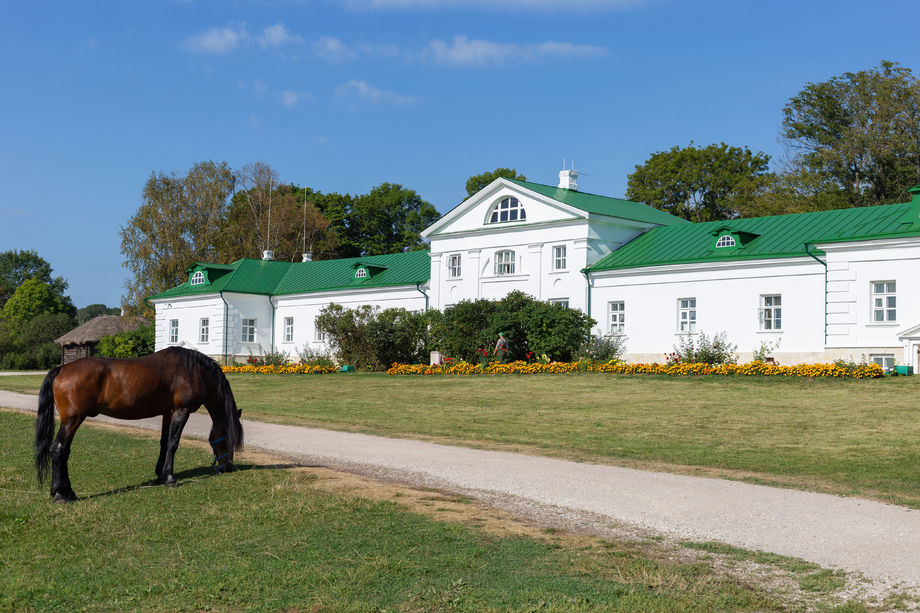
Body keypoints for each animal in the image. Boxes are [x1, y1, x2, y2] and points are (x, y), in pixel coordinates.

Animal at [36, 346, 244, 500]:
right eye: (229, 439)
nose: (227, 467)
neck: (194, 371)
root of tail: (61, 369)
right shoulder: (181, 411)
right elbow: (173, 443)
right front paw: (170, 478)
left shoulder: (168, 413)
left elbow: (164, 443)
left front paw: (160, 474)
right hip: (72, 420)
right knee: (59, 449)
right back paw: (61, 494)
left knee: (62, 451)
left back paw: (66, 492)